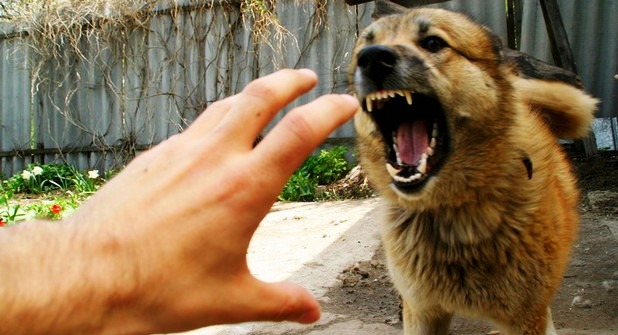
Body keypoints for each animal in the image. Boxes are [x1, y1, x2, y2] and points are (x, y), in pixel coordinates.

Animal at [348, 5, 596, 335]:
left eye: (433, 43)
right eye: (364, 48)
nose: (373, 58)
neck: (454, 213)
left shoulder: (526, 316)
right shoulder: (422, 311)